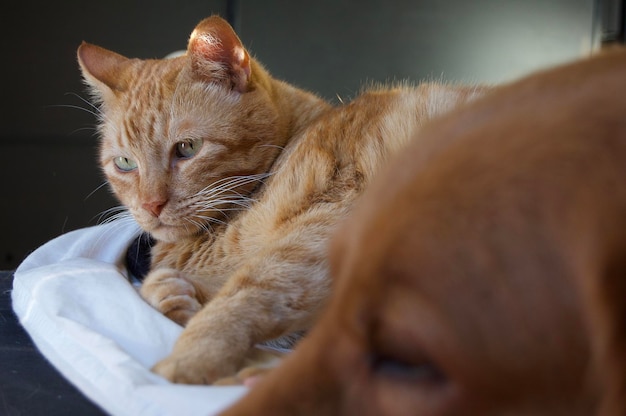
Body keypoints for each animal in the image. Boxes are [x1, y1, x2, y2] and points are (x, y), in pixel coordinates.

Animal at [74, 14, 482, 384]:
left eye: (187, 148)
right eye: (125, 163)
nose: (150, 206)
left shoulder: (326, 225)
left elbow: (247, 293)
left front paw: (189, 358)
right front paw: (173, 296)